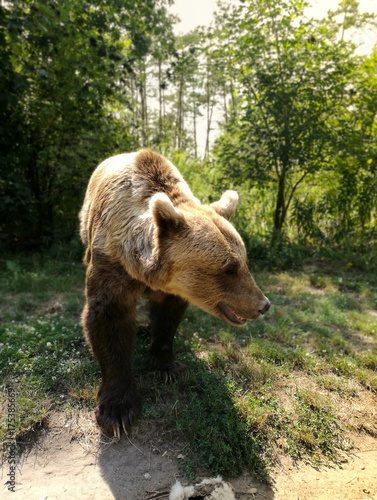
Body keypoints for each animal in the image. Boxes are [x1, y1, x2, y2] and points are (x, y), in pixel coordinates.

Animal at [79, 149, 268, 438]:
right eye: (229, 268)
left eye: (245, 263)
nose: (263, 304)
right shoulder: (111, 264)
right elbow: (109, 320)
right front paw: (117, 411)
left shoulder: (173, 288)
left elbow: (168, 316)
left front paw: (167, 365)